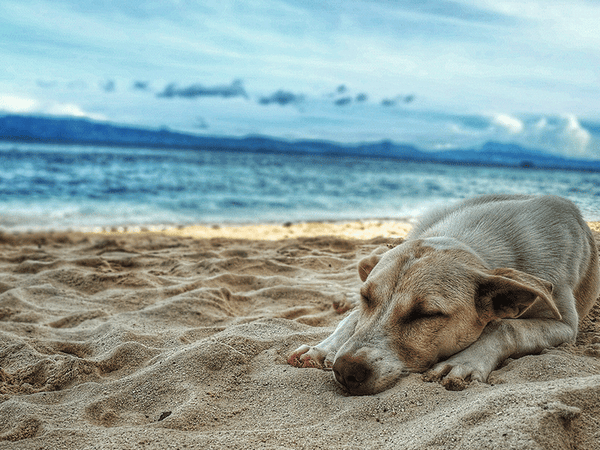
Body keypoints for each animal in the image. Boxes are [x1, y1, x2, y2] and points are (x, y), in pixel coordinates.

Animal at [288, 195, 596, 396]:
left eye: (426, 314)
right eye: (366, 298)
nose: (345, 370)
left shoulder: (565, 325)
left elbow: (505, 326)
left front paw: (463, 362)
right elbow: (352, 319)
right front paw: (325, 347)